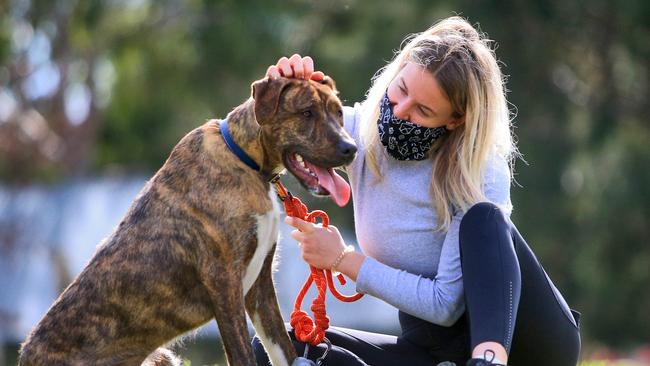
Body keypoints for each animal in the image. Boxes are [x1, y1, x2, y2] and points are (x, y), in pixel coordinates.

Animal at [17, 76, 356, 364]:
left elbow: (285, 351)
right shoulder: (225, 284)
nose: (350, 148)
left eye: (339, 113)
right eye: (307, 112)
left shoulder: (259, 286)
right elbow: (243, 355)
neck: (246, 160)